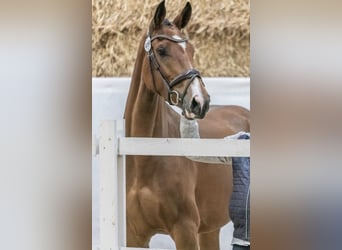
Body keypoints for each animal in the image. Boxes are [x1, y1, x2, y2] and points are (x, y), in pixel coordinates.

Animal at [124, 0, 250, 249]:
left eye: (191, 50)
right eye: (162, 50)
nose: (200, 101)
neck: (146, 159)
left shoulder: (185, 231)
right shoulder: (134, 236)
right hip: (209, 228)